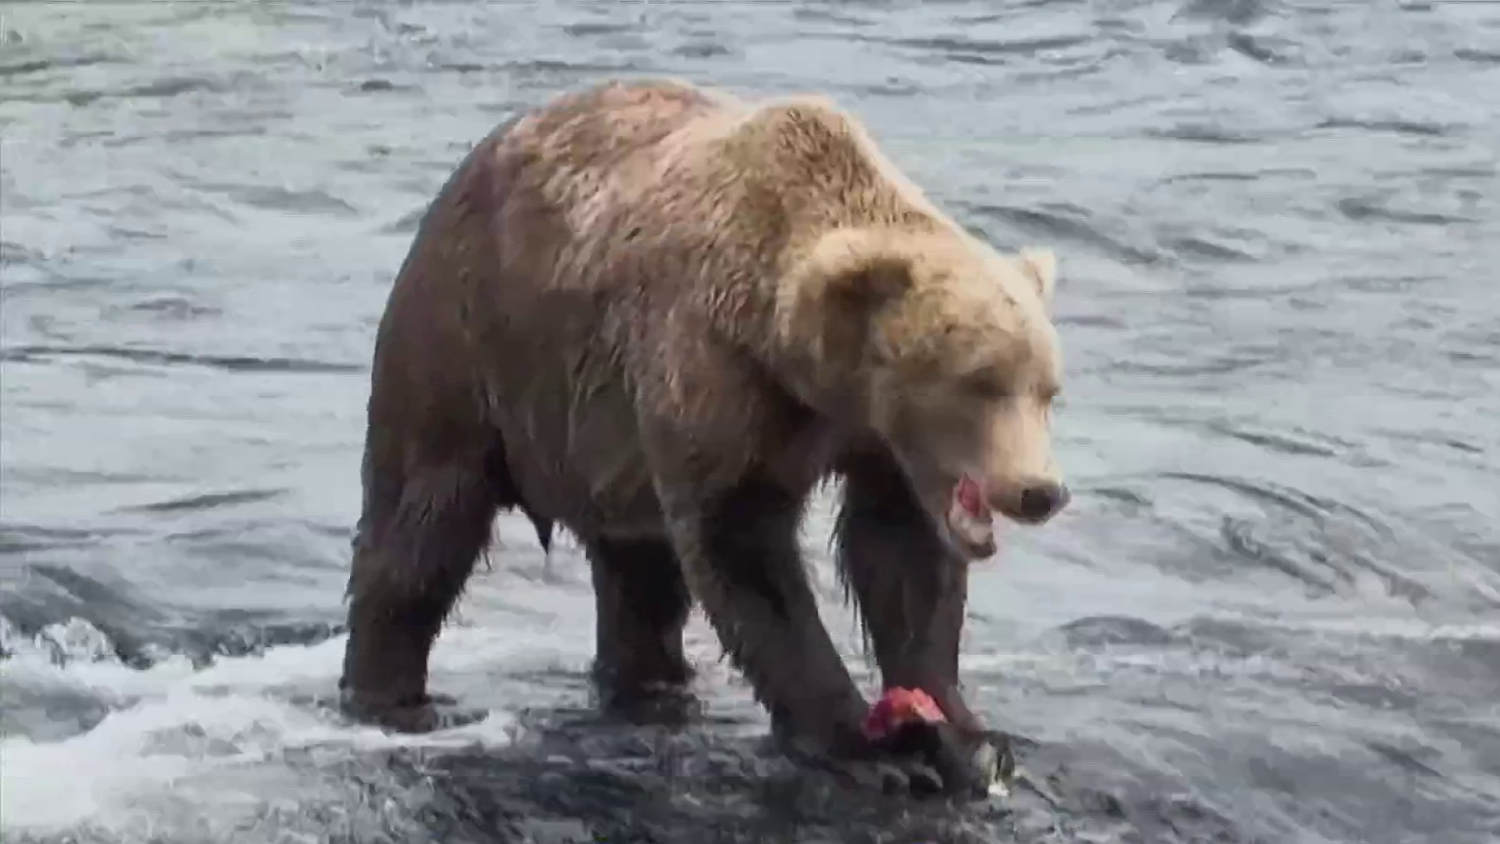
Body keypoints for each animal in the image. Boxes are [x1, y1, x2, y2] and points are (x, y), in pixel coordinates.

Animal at [338, 78, 1069, 798]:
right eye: (979, 380)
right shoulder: (715, 375)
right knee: (420, 531)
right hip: (464, 355)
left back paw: (650, 682)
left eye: (1047, 389)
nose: (1040, 491)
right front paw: (863, 745)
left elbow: (902, 557)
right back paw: (386, 694)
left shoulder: (879, 447)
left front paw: (968, 738)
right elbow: (745, 550)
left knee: (640, 581)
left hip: (605, 451)